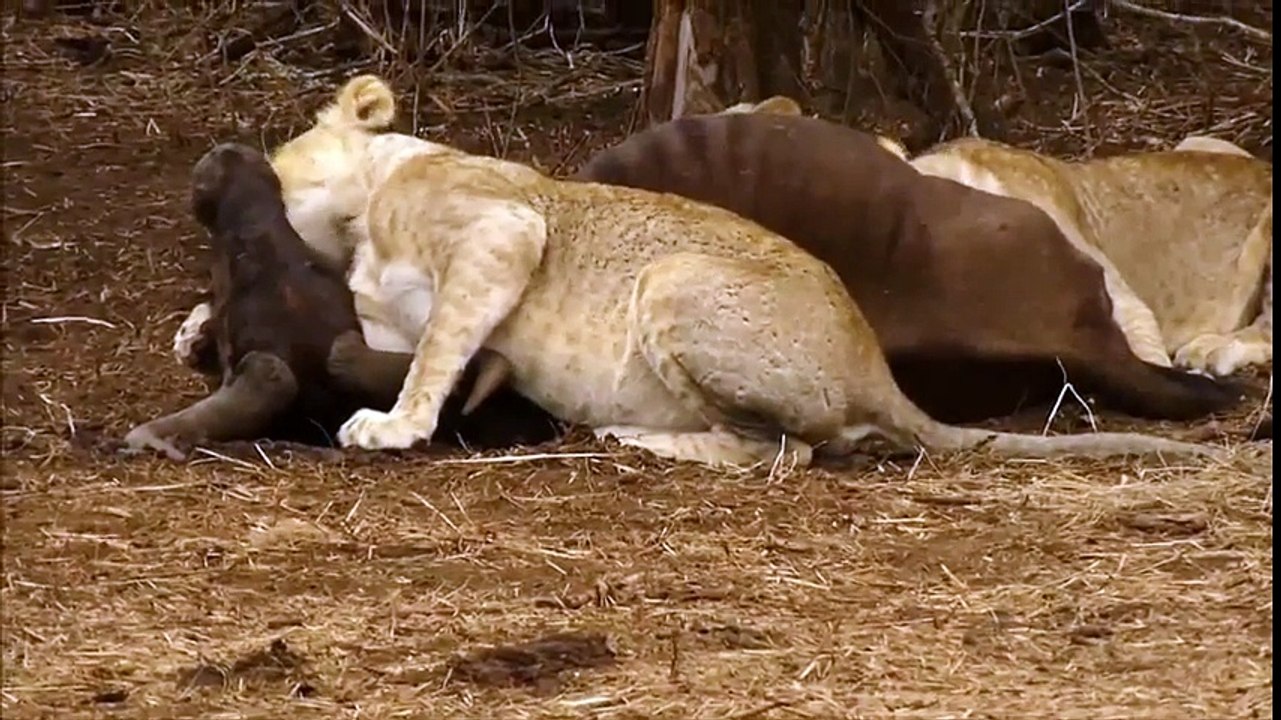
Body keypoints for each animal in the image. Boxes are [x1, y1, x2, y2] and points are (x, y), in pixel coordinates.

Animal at [214, 73, 1223, 468]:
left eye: (281, 155)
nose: (229, 161)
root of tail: (876, 371)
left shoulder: (502, 229)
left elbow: (438, 349)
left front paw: (395, 425)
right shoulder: (387, 310)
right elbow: (399, 342)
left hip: (672, 280)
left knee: (781, 451)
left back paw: (640, 438)